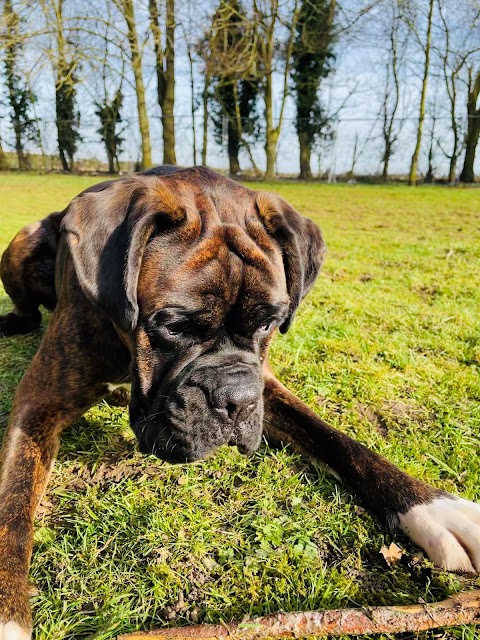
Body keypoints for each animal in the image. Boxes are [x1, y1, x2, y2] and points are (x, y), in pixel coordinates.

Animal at [0, 166, 480, 640]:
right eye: (173, 326)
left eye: (269, 322)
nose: (236, 399)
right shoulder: (37, 405)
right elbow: (13, 506)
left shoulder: (266, 385)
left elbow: (339, 440)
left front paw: (433, 508)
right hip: (21, 243)